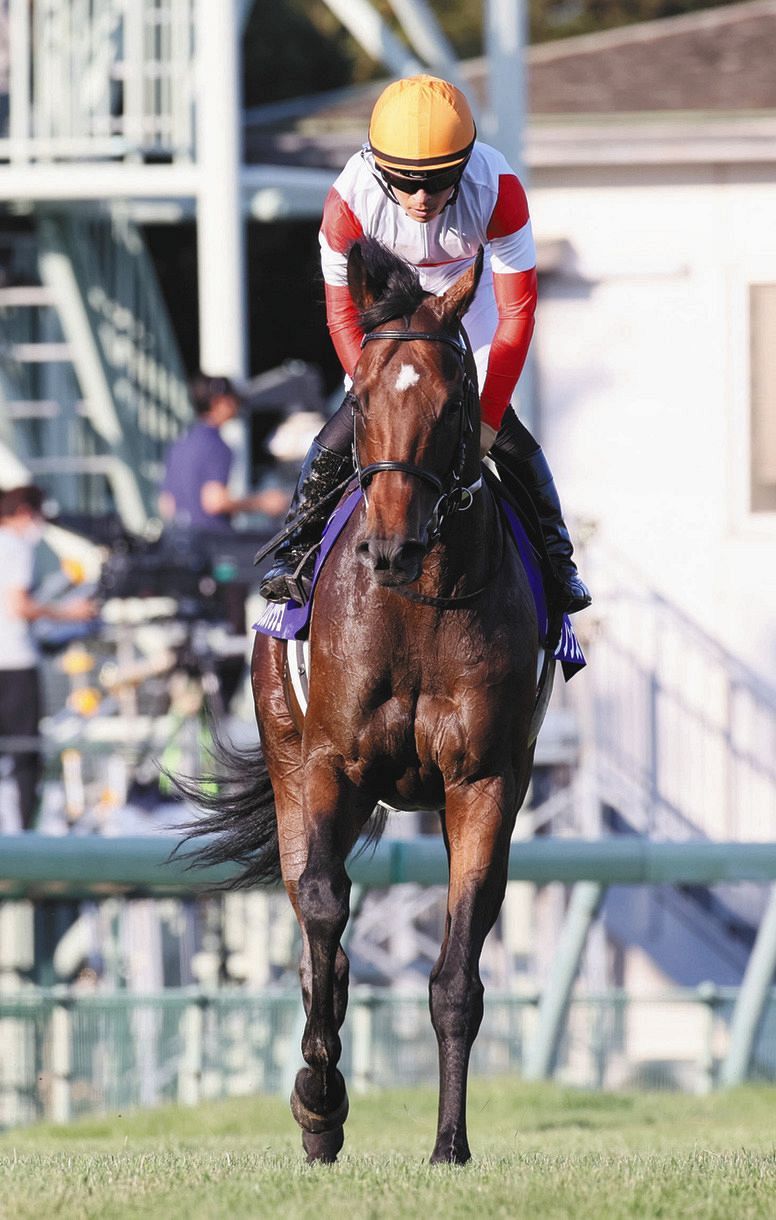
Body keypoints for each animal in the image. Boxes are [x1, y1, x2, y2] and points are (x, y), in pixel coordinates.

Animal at [187, 235, 539, 1161]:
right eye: (360, 396)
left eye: (453, 402)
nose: (390, 545)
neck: (420, 600)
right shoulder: (329, 765)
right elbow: (319, 912)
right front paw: (317, 1100)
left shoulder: (486, 781)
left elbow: (456, 976)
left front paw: (449, 1145)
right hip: (287, 755)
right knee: (321, 931)